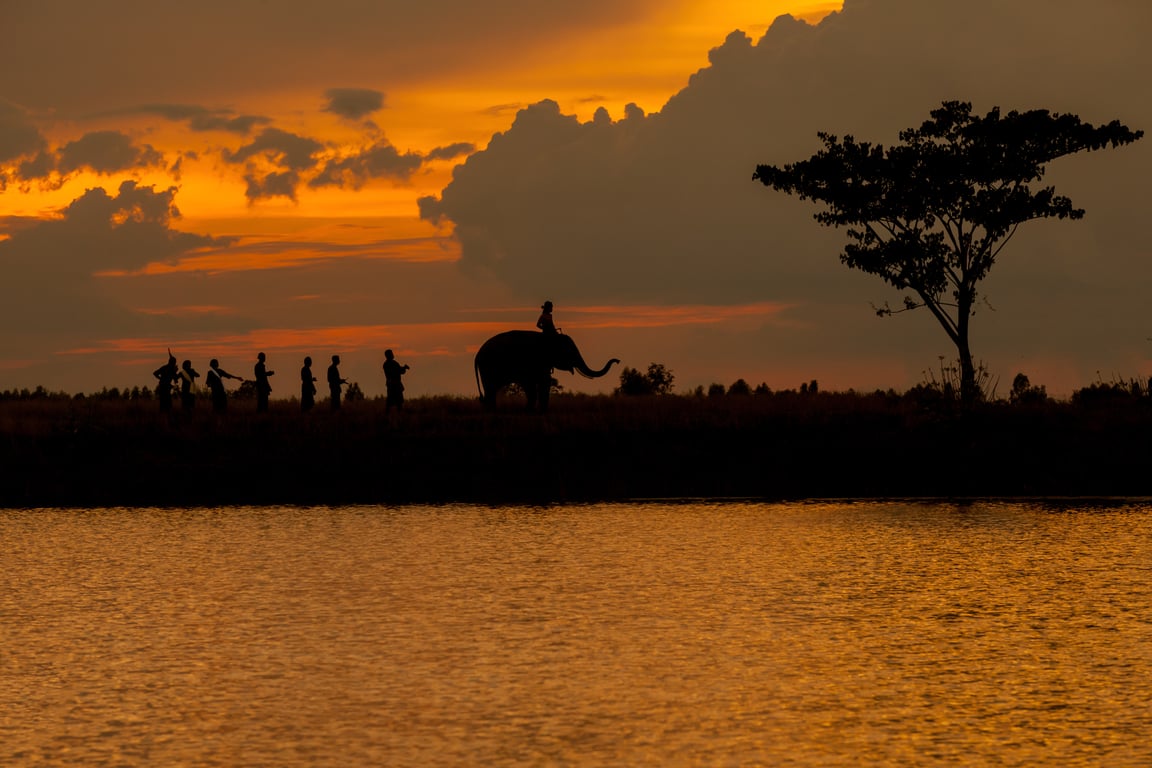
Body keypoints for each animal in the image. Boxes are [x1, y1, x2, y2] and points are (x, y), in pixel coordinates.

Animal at [472, 331, 622, 412]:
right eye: (570, 352)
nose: (618, 361)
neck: (550, 338)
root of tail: (477, 355)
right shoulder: (533, 362)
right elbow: (535, 384)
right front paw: (530, 411)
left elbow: (542, 382)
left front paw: (537, 411)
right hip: (488, 367)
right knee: (490, 389)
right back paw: (493, 412)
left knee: (490, 390)